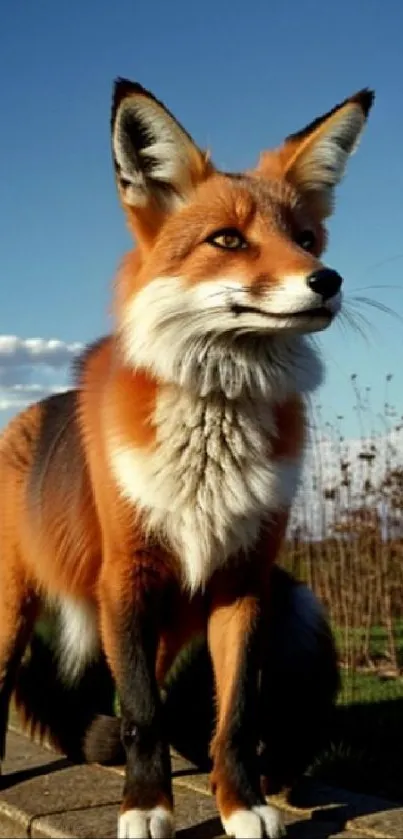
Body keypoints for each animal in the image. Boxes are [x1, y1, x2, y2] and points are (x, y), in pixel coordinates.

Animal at [0, 80, 374, 839]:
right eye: (227, 239)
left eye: (306, 239)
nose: (328, 279)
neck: (212, 435)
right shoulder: (127, 576)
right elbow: (142, 715)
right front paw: (146, 807)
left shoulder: (244, 582)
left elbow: (232, 717)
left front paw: (240, 804)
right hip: (17, 605)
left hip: (281, 607)